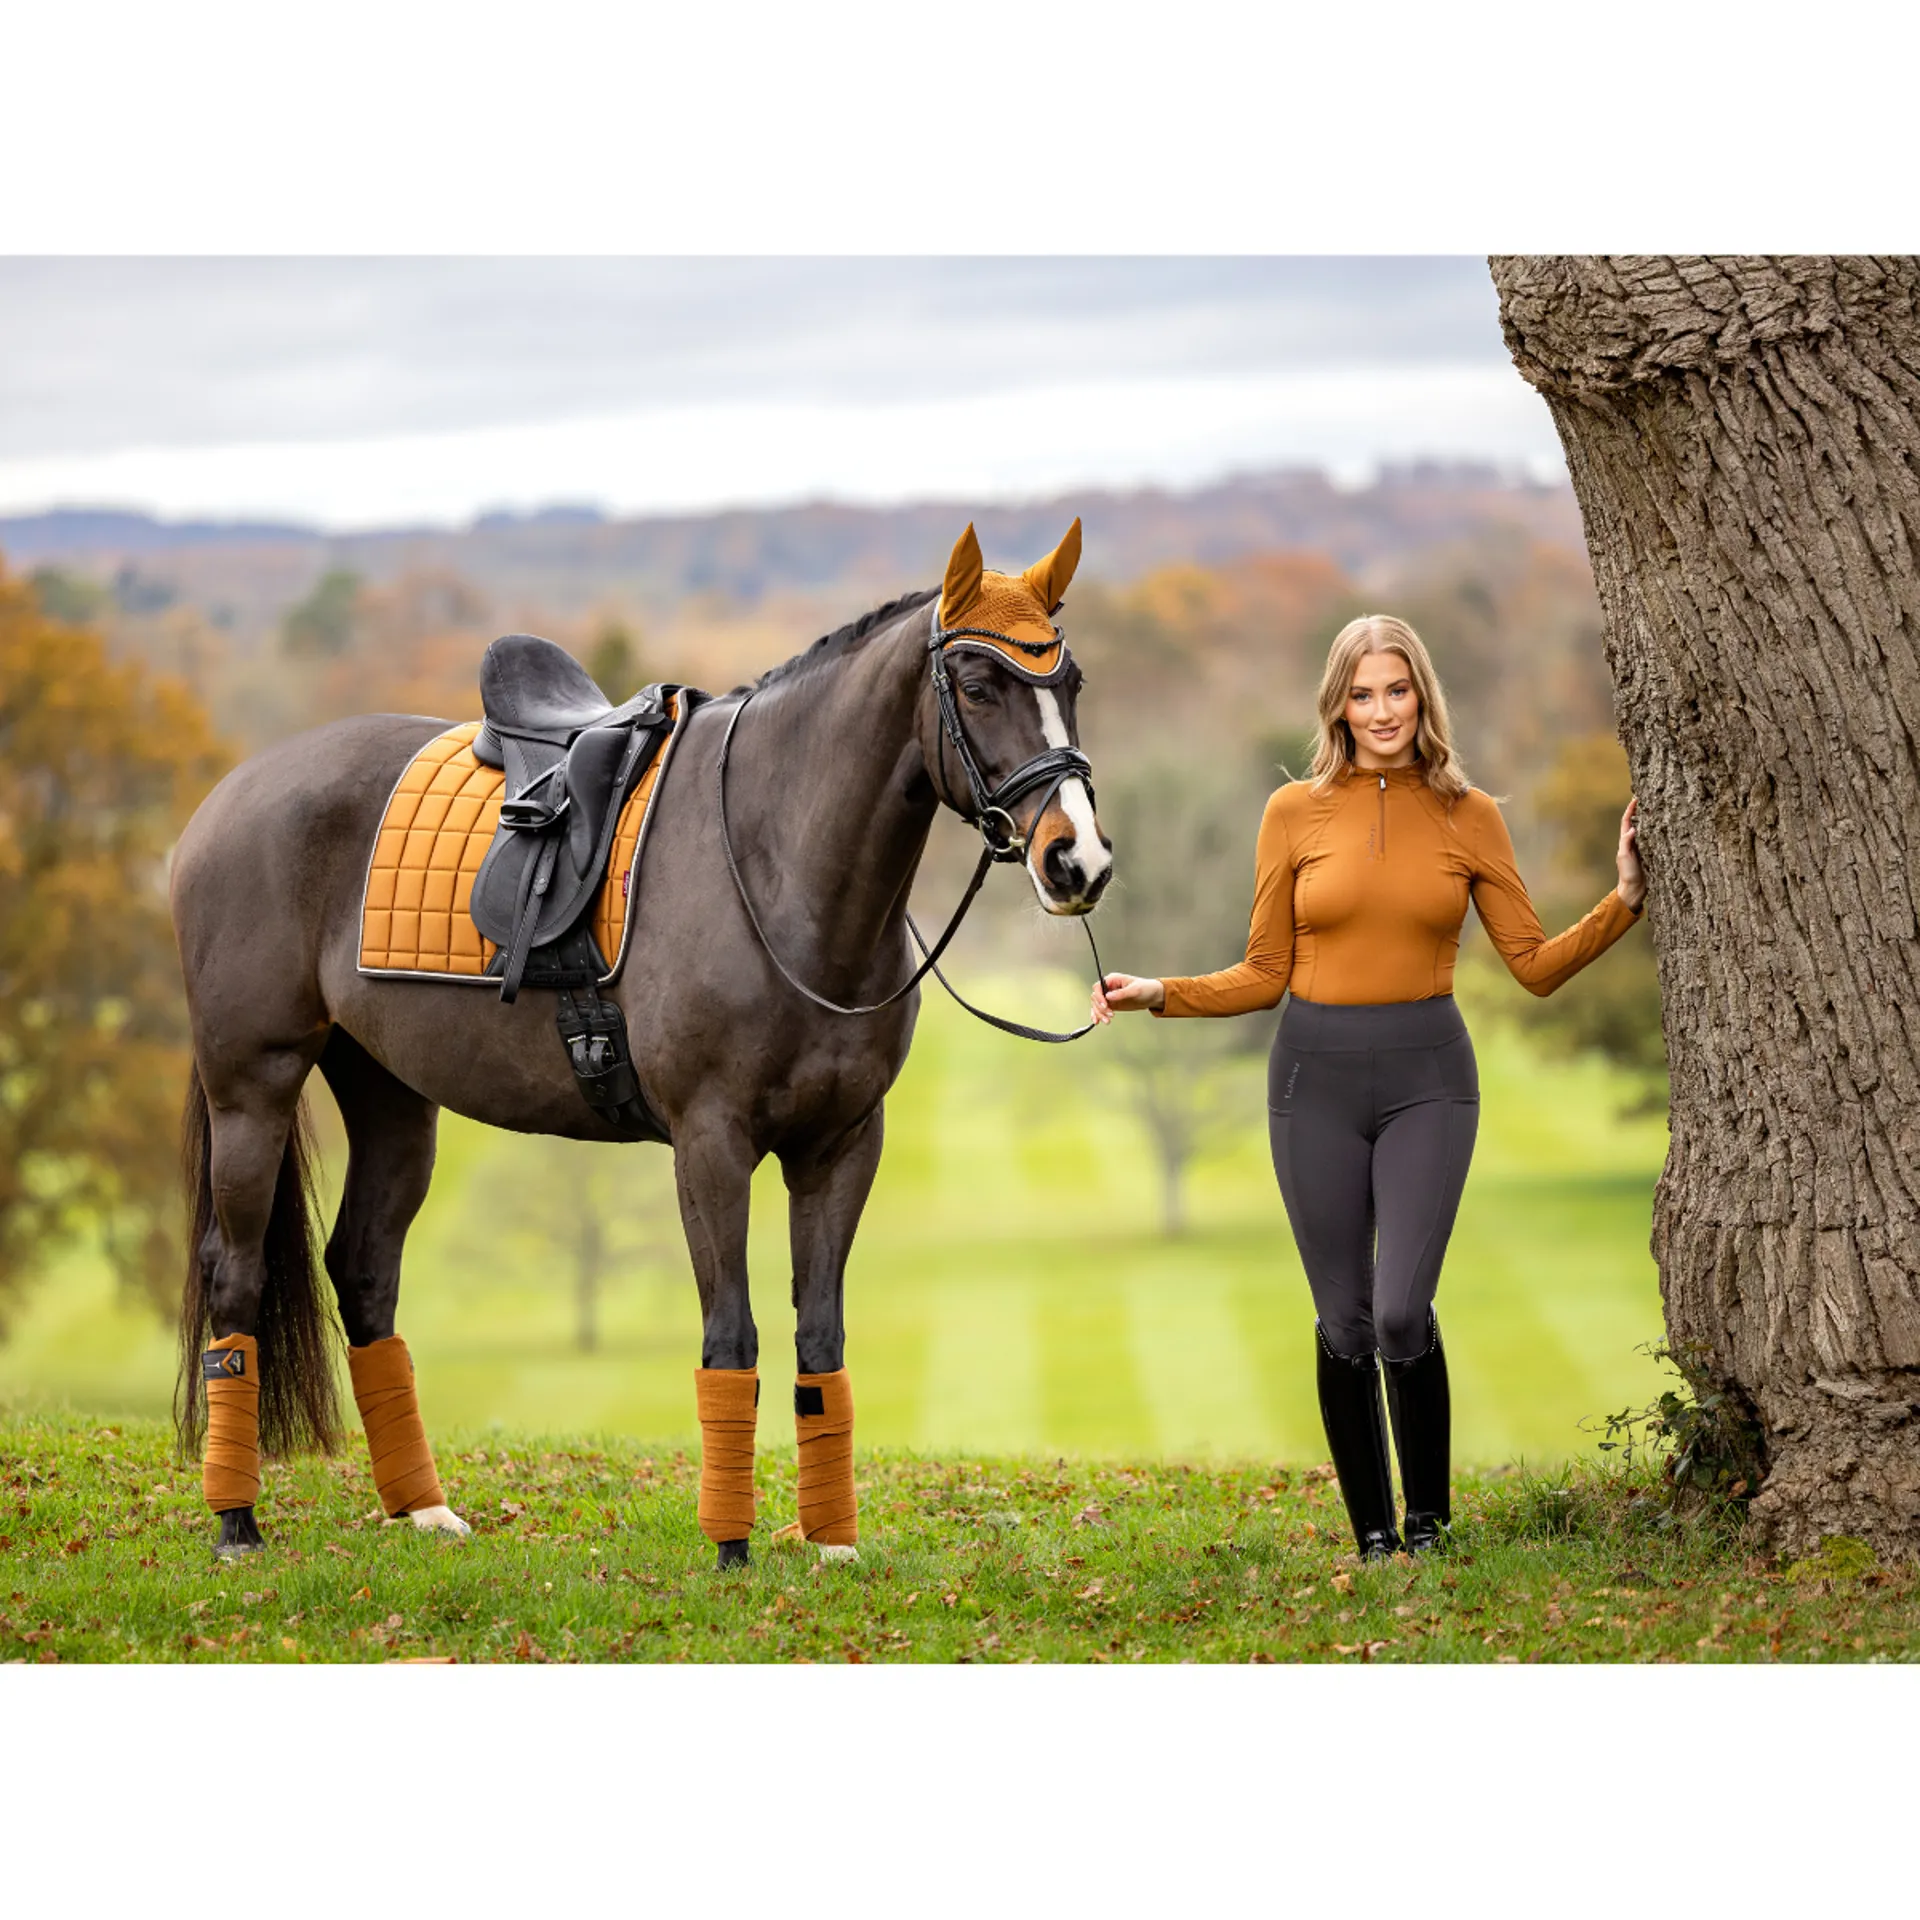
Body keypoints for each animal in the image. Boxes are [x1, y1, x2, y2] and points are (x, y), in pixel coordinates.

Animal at [170, 519, 1112, 1567]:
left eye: (1071, 683)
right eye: (980, 686)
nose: (1077, 860)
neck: (775, 865)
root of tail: (233, 793)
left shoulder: (840, 1145)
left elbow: (820, 1341)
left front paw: (831, 1545)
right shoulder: (710, 1144)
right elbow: (732, 1336)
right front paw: (733, 1549)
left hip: (392, 1098)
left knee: (365, 1270)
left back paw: (421, 1508)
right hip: (253, 1087)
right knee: (234, 1276)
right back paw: (236, 1521)